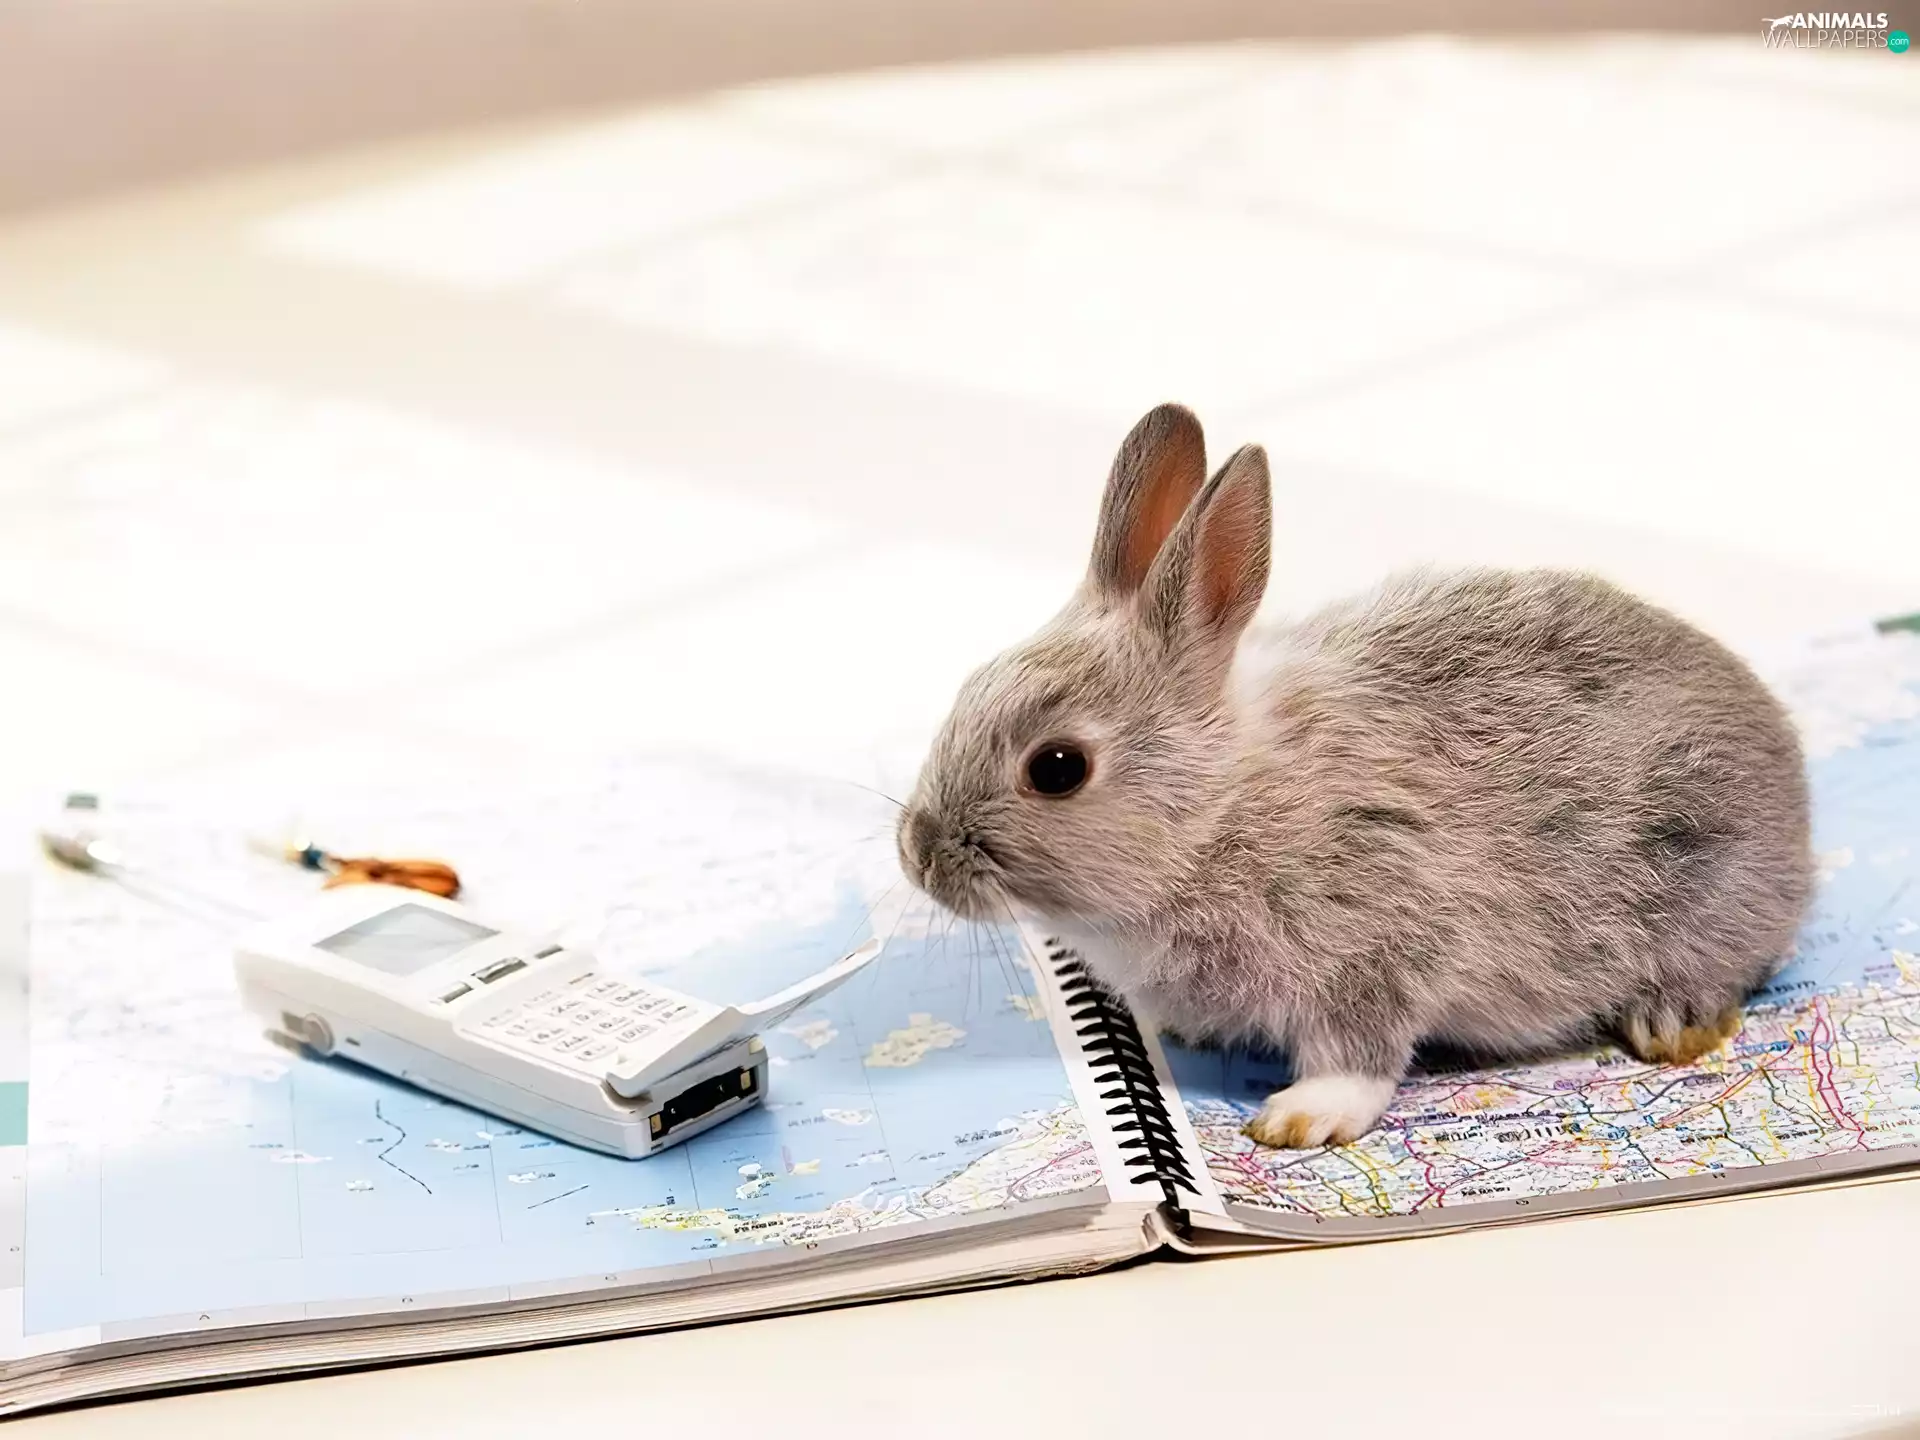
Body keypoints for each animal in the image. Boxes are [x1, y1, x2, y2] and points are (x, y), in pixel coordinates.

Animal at [896, 402, 1814, 1150]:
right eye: (968, 687)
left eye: (1057, 768)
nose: (918, 855)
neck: (1218, 811)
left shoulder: (1375, 942)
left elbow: (1361, 1052)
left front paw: (1302, 1118)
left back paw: (1671, 1022)